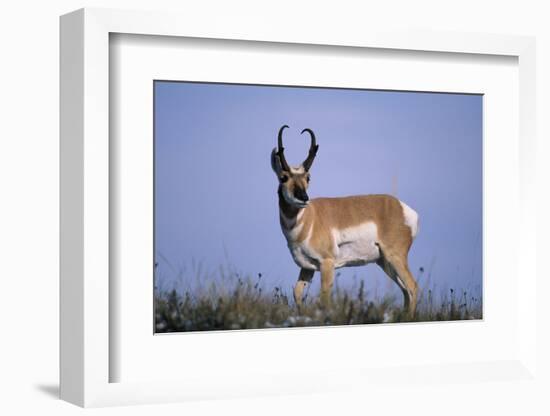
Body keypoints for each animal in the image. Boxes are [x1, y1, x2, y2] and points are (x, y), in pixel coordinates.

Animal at [272, 125, 422, 314]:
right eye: (283, 177)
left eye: (308, 177)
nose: (304, 198)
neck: (308, 219)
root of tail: (402, 207)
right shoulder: (307, 267)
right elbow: (297, 292)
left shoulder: (327, 263)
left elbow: (324, 298)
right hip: (385, 262)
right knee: (405, 291)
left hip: (395, 257)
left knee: (412, 287)